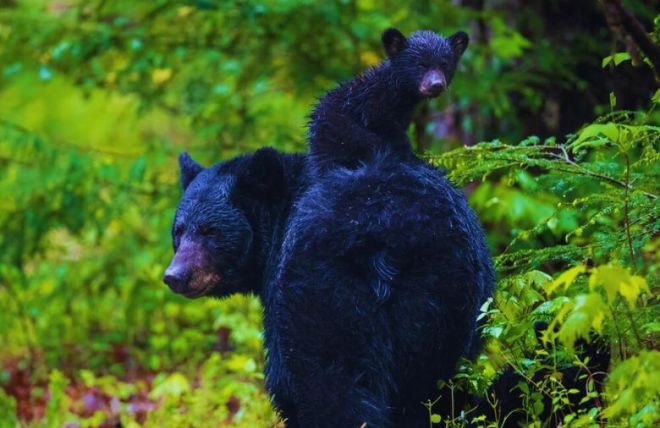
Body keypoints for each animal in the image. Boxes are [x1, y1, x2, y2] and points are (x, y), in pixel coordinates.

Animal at [164, 146, 494, 427]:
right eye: (179, 230)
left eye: (211, 231)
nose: (175, 275)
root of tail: (385, 232)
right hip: (442, 295)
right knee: (426, 387)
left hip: (322, 290)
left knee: (328, 382)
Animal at [308, 28, 469, 174]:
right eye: (420, 64)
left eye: (444, 64)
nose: (436, 85)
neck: (396, 92)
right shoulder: (374, 111)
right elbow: (393, 139)